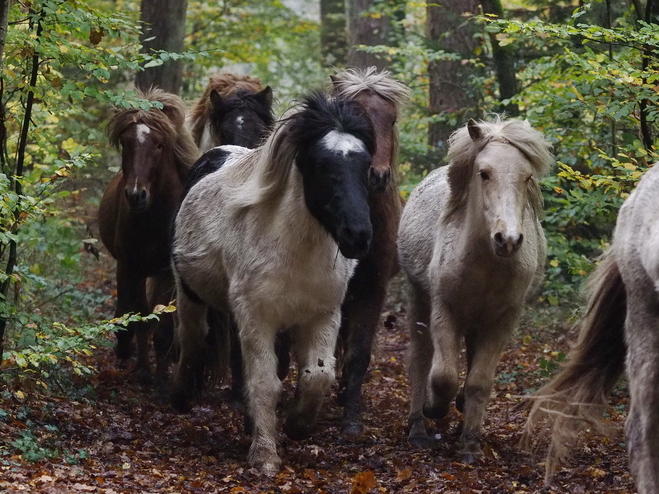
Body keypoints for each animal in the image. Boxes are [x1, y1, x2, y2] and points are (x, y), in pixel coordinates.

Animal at [170, 91, 376, 474]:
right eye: (321, 164)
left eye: (365, 166)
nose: (358, 236)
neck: (294, 251)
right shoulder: (257, 317)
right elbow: (265, 383)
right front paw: (264, 455)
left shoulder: (323, 315)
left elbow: (317, 375)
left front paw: (298, 424)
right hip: (189, 293)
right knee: (192, 338)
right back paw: (179, 397)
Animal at [398, 117, 556, 462]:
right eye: (483, 173)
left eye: (527, 177)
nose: (508, 240)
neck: (485, 264)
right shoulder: (444, 310)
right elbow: (443, 376)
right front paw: (434, 407)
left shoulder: (502, 320)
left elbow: (479, 382)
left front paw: (469, 442)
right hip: (419, 300)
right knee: (421, 360)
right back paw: (418, 427)